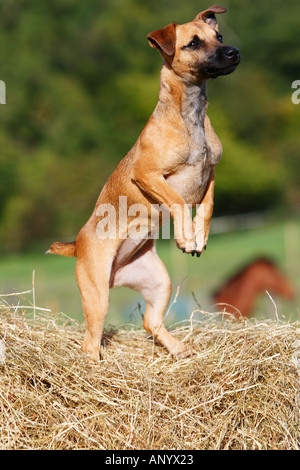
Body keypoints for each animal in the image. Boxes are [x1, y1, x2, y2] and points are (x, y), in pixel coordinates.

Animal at [49, 5, 241, 362]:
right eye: (194, 43)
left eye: (219, 36)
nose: (234, 51)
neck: (190, 117)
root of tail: (77, 246)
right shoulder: (148, 175)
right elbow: (178, 201)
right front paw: (186, 238)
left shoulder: (211, 173)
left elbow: (206, 207)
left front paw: (199, 236)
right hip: (97, 297)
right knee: (90, 342)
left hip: (158, 282)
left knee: (150, 322)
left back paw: (179, 349)